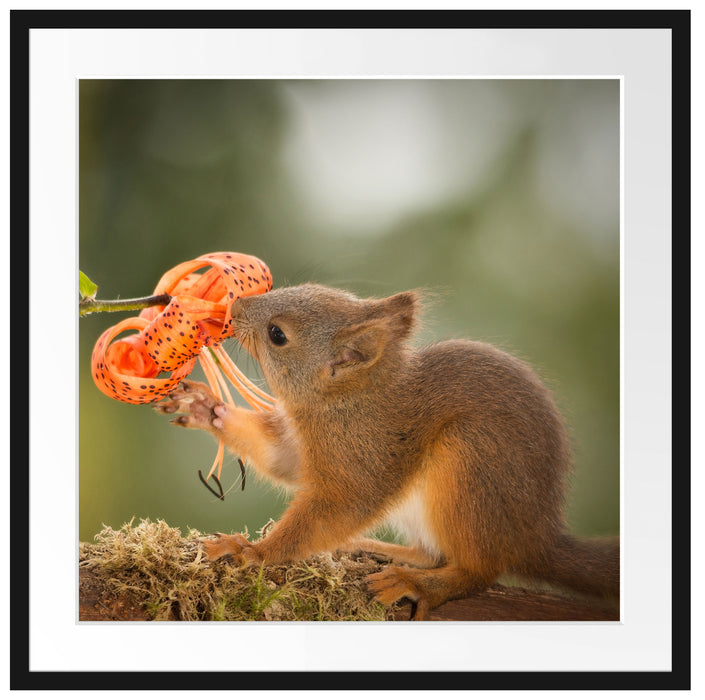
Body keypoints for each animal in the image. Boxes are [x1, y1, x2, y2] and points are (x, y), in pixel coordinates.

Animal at [158, 283, 620, 620]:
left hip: (470, 466)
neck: (346, 400)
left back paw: (419, 583)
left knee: (476, 570)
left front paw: (253, 552)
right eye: (302, 286)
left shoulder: (365, 455)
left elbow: (336, 508)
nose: (234, 307)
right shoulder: (306, 448)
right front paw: (206, 408)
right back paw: (374, 549)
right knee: (429, 553)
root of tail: (536, 539)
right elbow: (282, 461)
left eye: (277, 335)